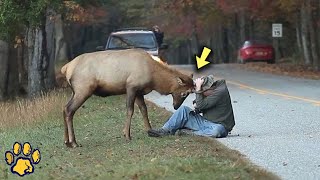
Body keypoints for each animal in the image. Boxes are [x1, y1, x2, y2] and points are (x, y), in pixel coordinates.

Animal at [61, 48, 194, 148]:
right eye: (184, 93)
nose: (176, 106)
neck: (154, 78)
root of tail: (66, 68)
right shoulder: (131, 87)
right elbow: (130, 110)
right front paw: (127, 135)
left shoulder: (139, 92)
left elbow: (144, 110)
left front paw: (150, 130)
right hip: (83, 89)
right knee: (69, 110)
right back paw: (73, 142)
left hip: (74, 91)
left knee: (64, 108)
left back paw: (67, 141)